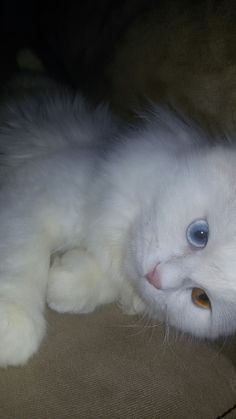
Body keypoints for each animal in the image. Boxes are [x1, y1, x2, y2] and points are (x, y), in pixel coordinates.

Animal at [0, 83, 236, 366]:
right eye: (200, 234)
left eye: (201, 298)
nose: (156, 277)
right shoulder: (32, 196)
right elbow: (21, 260)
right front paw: (12, 325)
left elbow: (106, 283)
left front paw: (65, 285)